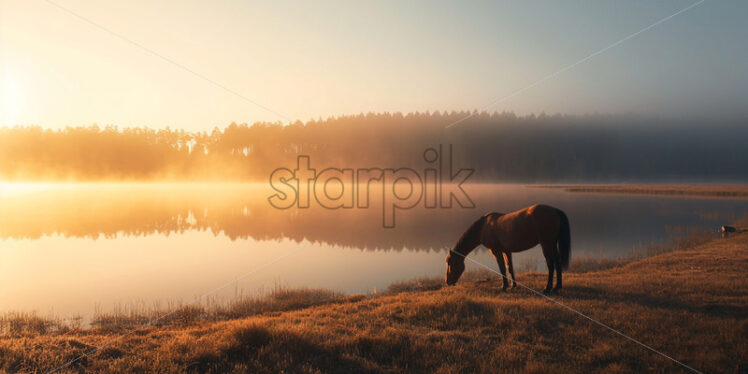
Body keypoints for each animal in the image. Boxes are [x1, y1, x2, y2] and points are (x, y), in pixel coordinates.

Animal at [444, 205, 572, 296]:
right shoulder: (507, 251)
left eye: (450, 263)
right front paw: (513, 286)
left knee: (551, 264)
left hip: (546, 244)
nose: (448, 282)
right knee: (558, 262)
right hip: (552, 244)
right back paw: (557, 287)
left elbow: (502, 268)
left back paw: (547, 288)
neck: (483, 227)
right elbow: (509, 267)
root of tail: (554, 210)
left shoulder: (496, 251)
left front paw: (504, 287)